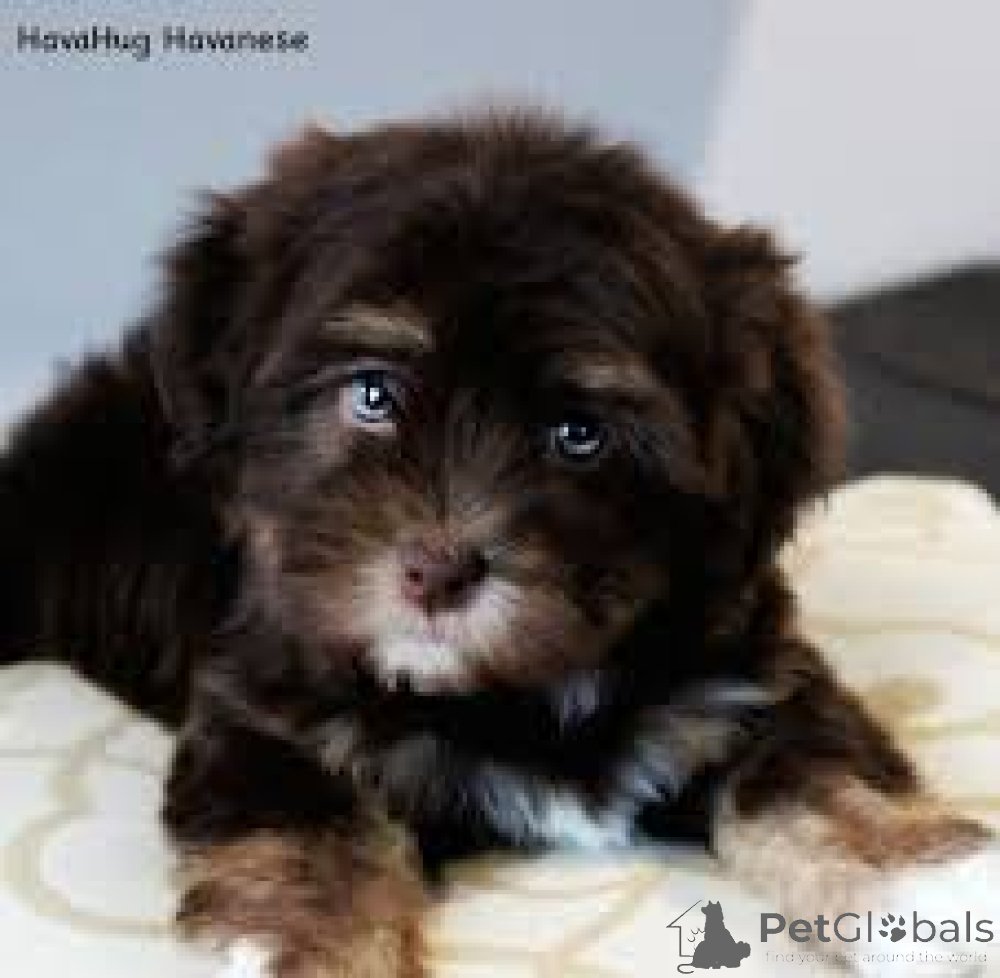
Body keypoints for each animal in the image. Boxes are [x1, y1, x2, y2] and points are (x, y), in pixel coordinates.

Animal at [0, 108, 994, 978]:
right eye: (372, 394)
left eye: (579, 435)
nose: (438, 571)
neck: (507, 692)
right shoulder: (265, 717)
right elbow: (312, 843)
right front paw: (319, 953)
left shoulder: (746, 683)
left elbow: (806, 777)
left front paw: (926, 888)